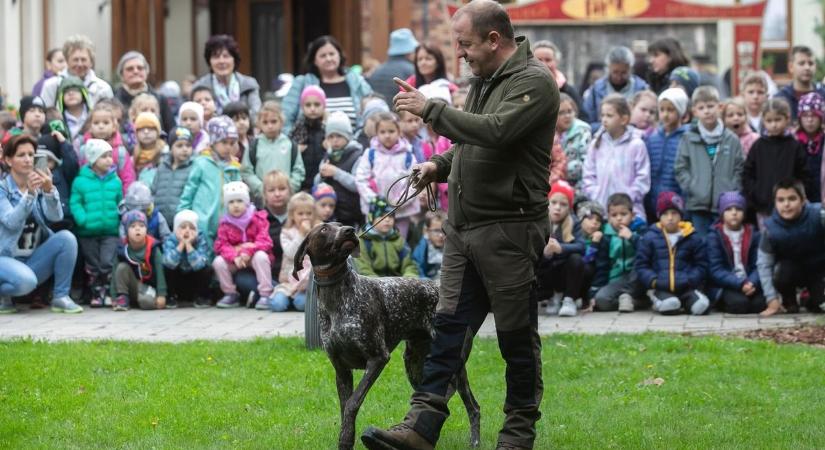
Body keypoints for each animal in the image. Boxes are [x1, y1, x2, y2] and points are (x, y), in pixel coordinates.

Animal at [292, 222, 480, 450]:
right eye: (324, 229)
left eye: (340, 225)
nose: (349, 230)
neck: (336, 299)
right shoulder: (341, 369)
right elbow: (345, 408)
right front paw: (346, 439)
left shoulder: (377, 358)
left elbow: (352, 403)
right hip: (416, 367)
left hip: (455, 365)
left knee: (473, 406)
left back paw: (475, 441)